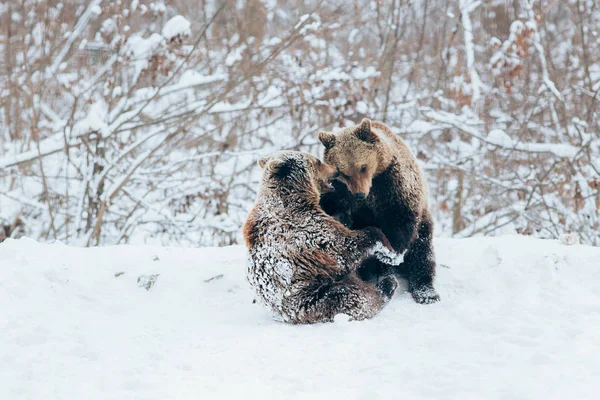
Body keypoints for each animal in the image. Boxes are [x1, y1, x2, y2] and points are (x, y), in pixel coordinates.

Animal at [241, 151, 400, 324]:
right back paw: (386, 285)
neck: (295, 197)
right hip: (312, 298)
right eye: (317, 161)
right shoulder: (305, 232)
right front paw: (390, 253)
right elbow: (343, 248)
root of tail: (286, 318)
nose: (336, 169)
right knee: (352, 298)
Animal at [318, 118, 440, 304]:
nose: (359, 194)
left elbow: (400, 219)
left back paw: (425, 291)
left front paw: (391, 254)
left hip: (424, 223)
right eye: (344, 173)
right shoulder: (339, 192)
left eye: (363, 167)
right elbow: (333, 211)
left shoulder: (394, 187)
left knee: (422, 251)